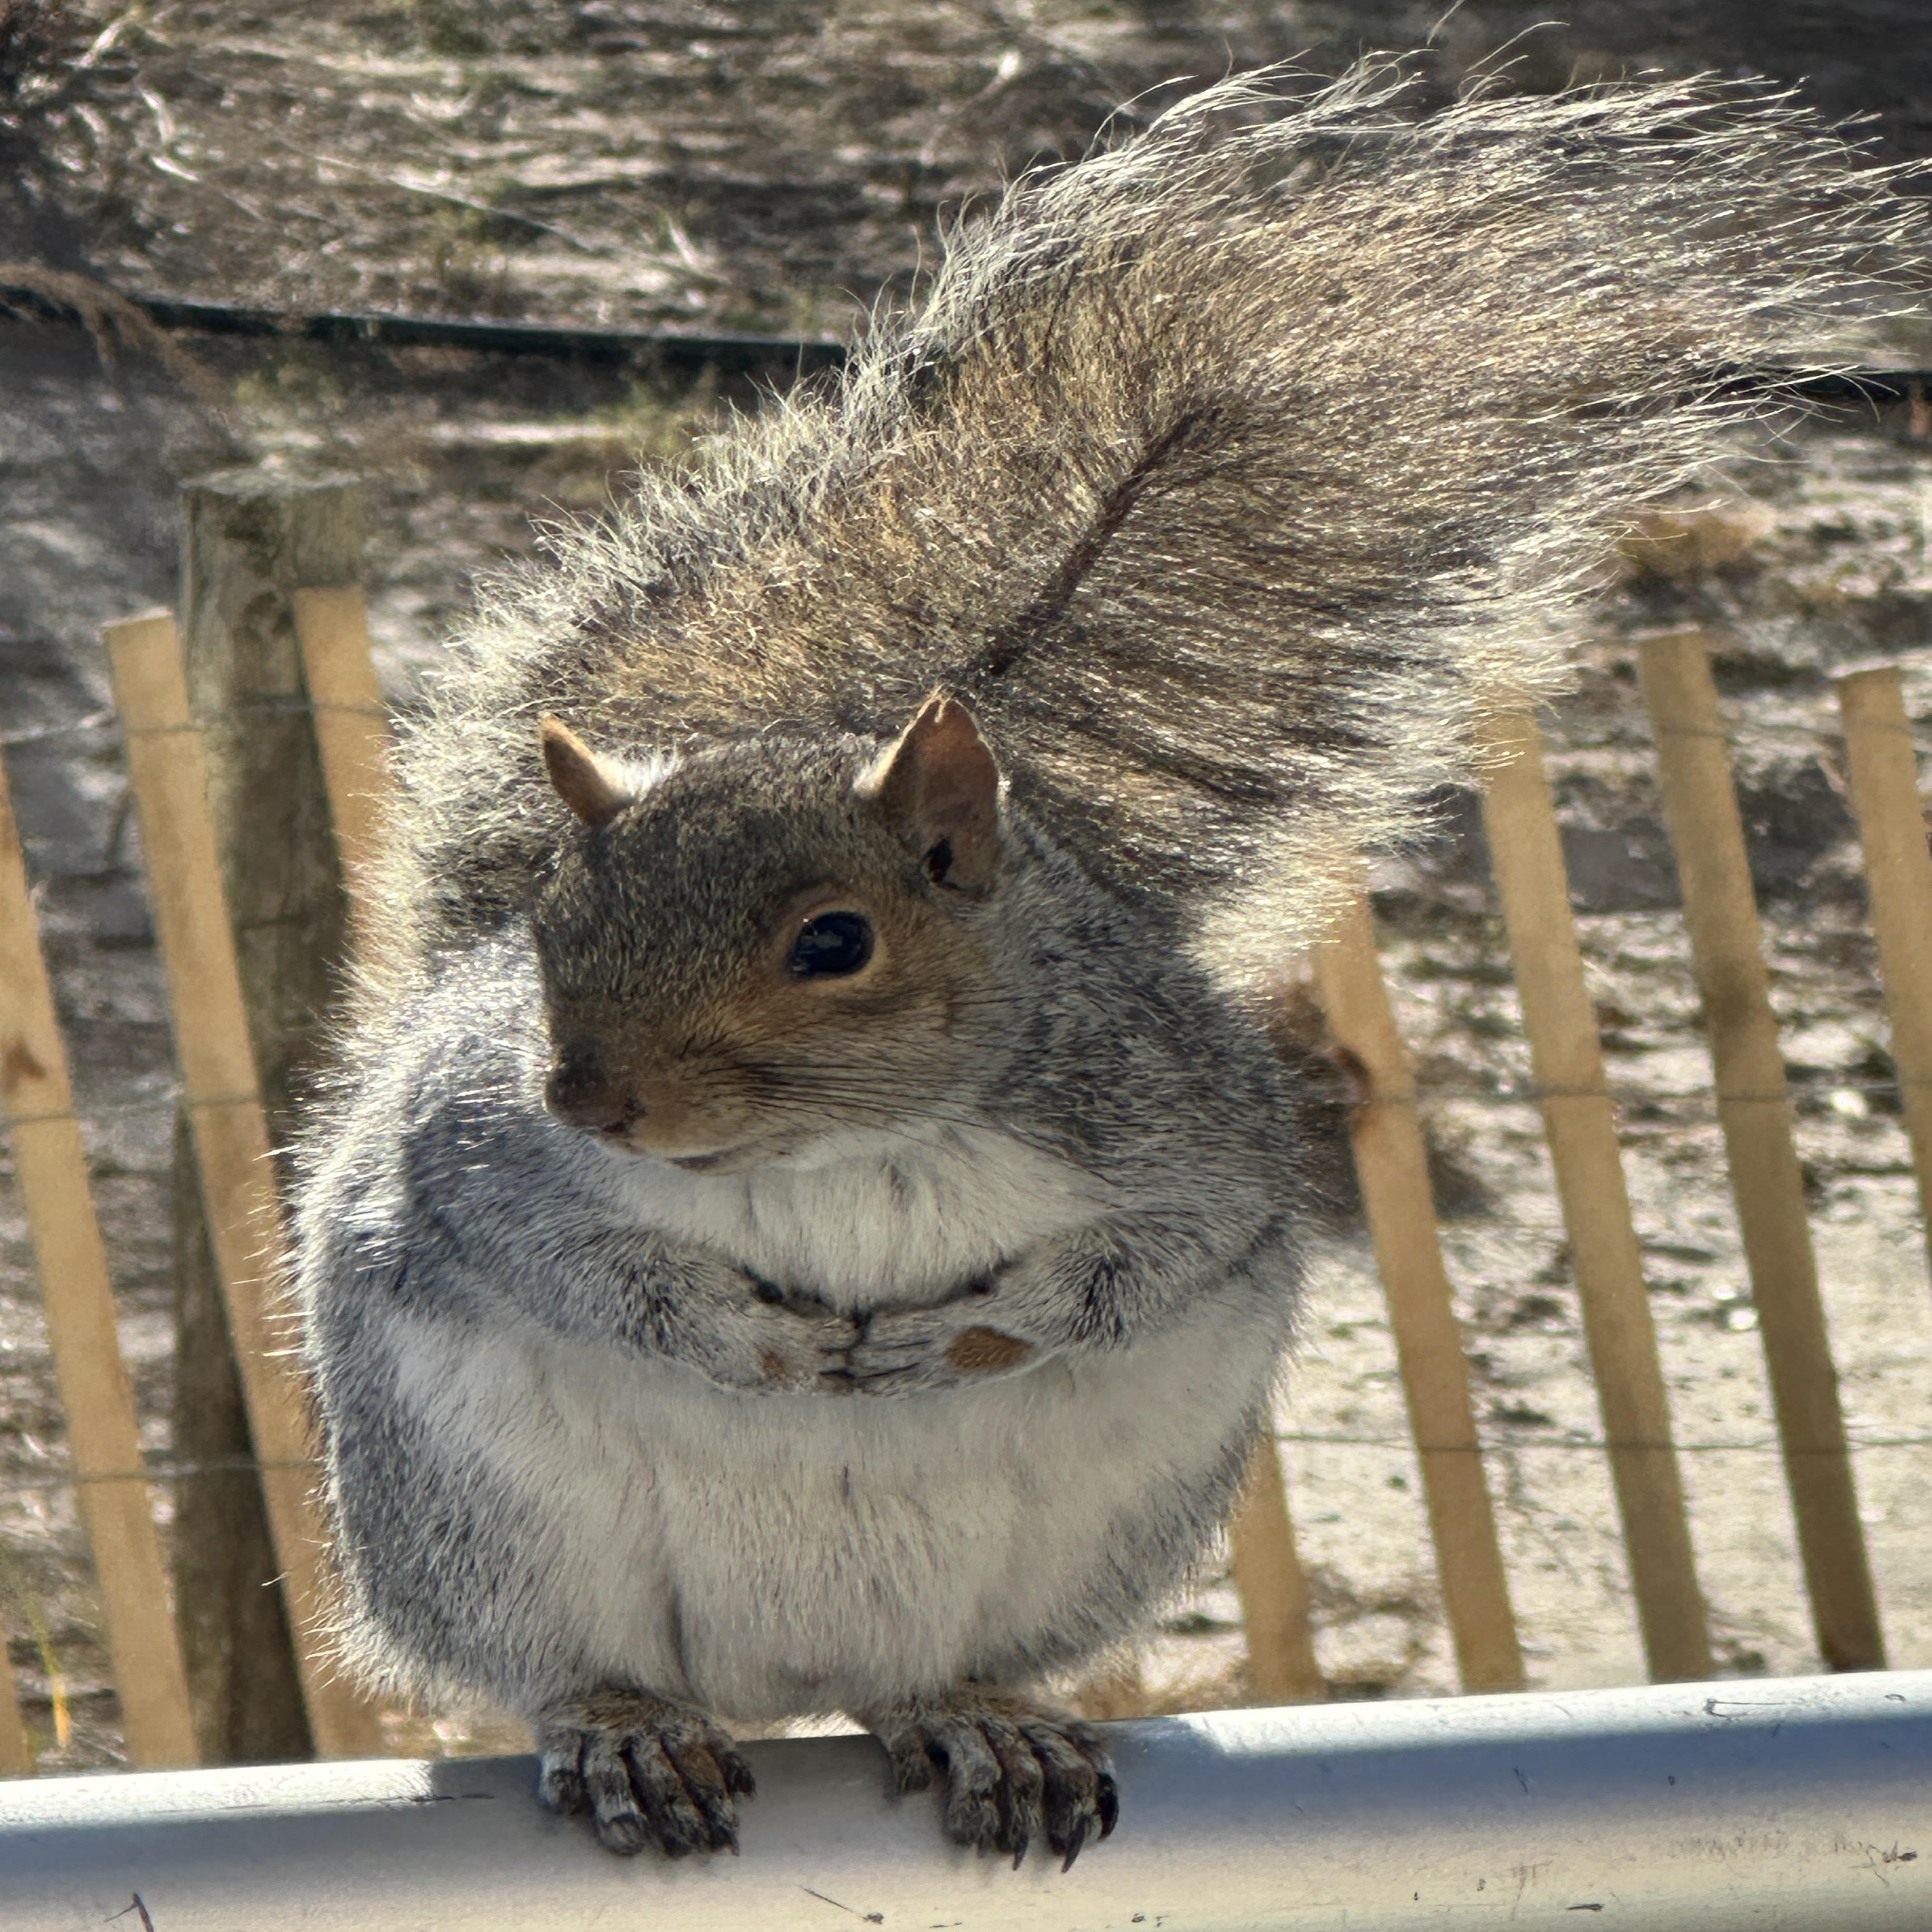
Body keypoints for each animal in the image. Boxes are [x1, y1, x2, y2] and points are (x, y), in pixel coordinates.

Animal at [293, 61, 1920, 1867]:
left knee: (933, 1675)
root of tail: (786, 1677)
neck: (853, 1145)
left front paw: (958, 1338)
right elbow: (564, 1256)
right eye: (551, 927)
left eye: (834, 941)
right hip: (489, 1534)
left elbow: (1152, 1257)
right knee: (567, 1664)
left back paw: (983, 1723)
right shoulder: (473, 1155)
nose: (596, 1102)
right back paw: (630, 1727)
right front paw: (755, 1341)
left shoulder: (1182, 1123)